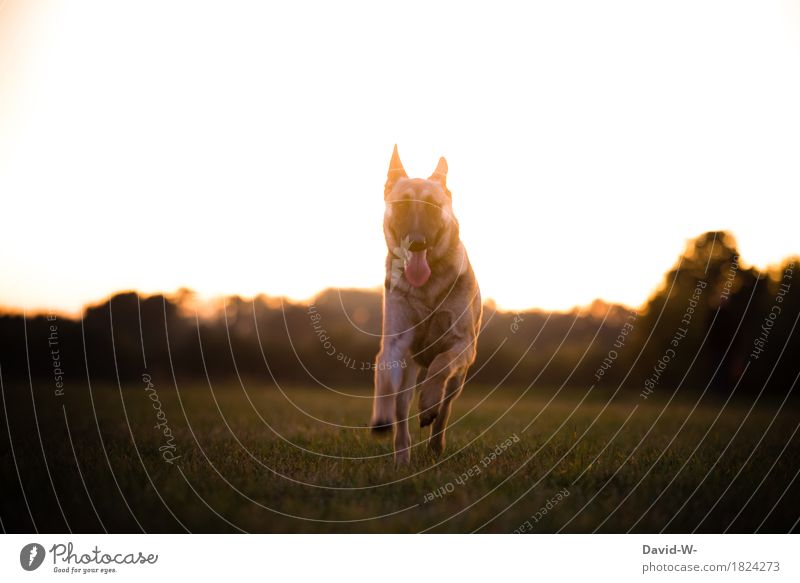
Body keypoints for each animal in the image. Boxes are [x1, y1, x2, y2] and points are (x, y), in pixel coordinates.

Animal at [368, 146, 482, 466]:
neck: (427, 288)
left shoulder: (463, 344)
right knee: (401, 417)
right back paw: (402, 458)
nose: (417, 244)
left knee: (444, 410)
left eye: (432, 206)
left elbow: (441, 365)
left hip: (459, 381)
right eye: (403, 204)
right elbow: (384, 380)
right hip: (408, 375)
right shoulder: (393, 343)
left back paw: (435, 443)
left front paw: (429, 401)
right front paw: (380, 417)